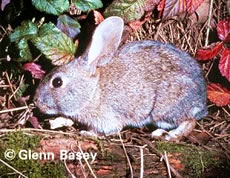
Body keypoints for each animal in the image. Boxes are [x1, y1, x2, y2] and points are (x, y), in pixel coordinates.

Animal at [34, 16, 208, 141]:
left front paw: (87, 133)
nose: (36, 101)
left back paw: (168, 135)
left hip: (164, 109)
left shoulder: (107, 119)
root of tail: (202, 101)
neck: (93, 91)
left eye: (57, 82)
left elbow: (109, 130)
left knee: (190, 121)